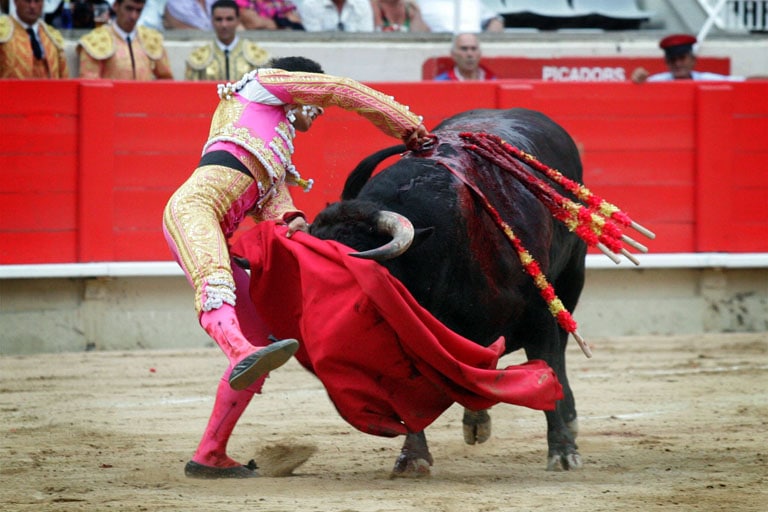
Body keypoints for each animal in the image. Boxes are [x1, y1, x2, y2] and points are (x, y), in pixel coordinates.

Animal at [310, 108, 588, 472]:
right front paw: (413, 457)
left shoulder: (539, 315)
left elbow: (547, 366)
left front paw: (563, 451)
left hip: (571, 278)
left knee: (560, 350)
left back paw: (567, 420)